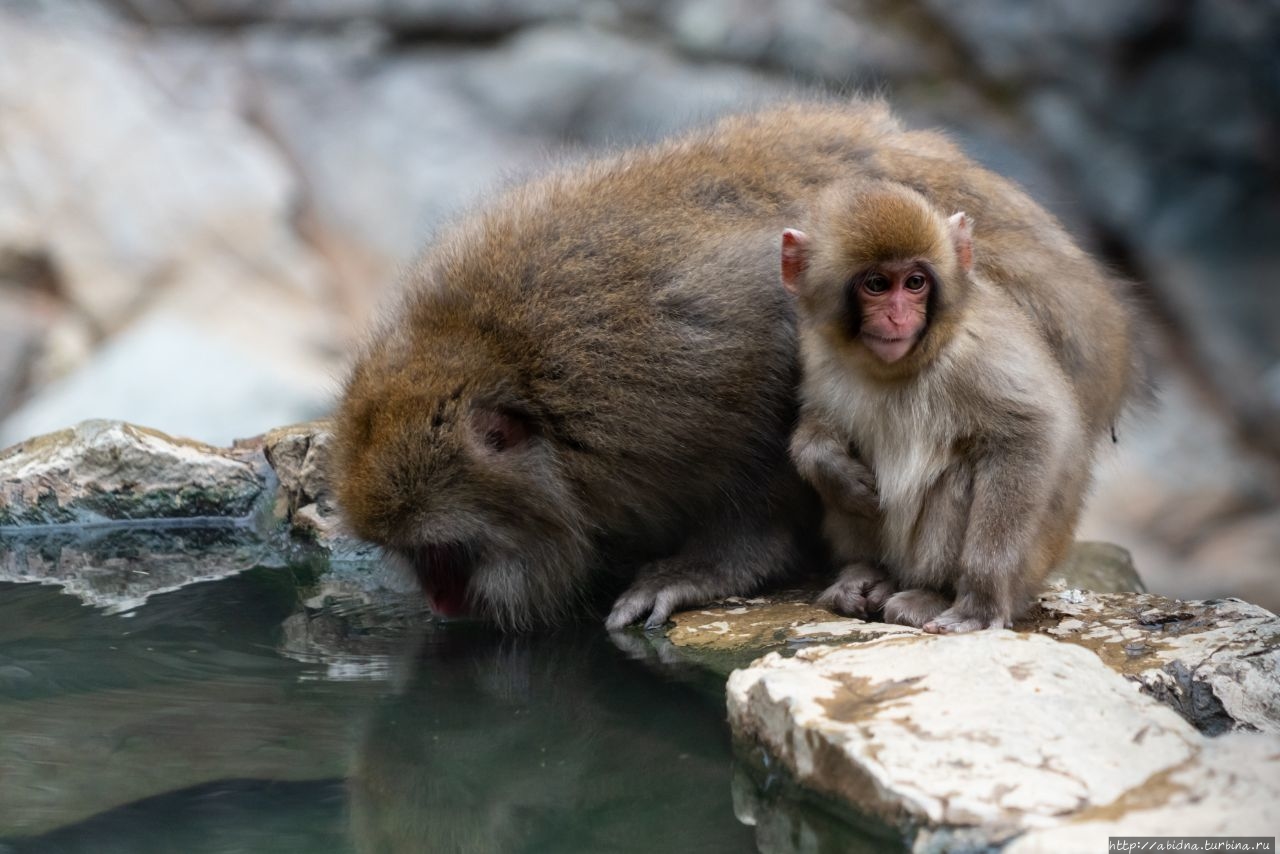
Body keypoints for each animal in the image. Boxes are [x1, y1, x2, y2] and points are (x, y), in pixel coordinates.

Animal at [783, 180, 1146, 632]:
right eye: (878, 285)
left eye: (915, 283)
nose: (898, 316)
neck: (897, 367)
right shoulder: (818, 352)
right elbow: (820, 422)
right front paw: (829, 466)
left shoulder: (976, 356)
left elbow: (1030, 434)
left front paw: (980, 602)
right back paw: (865, 572)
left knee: (961, 471)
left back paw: (932, 593)